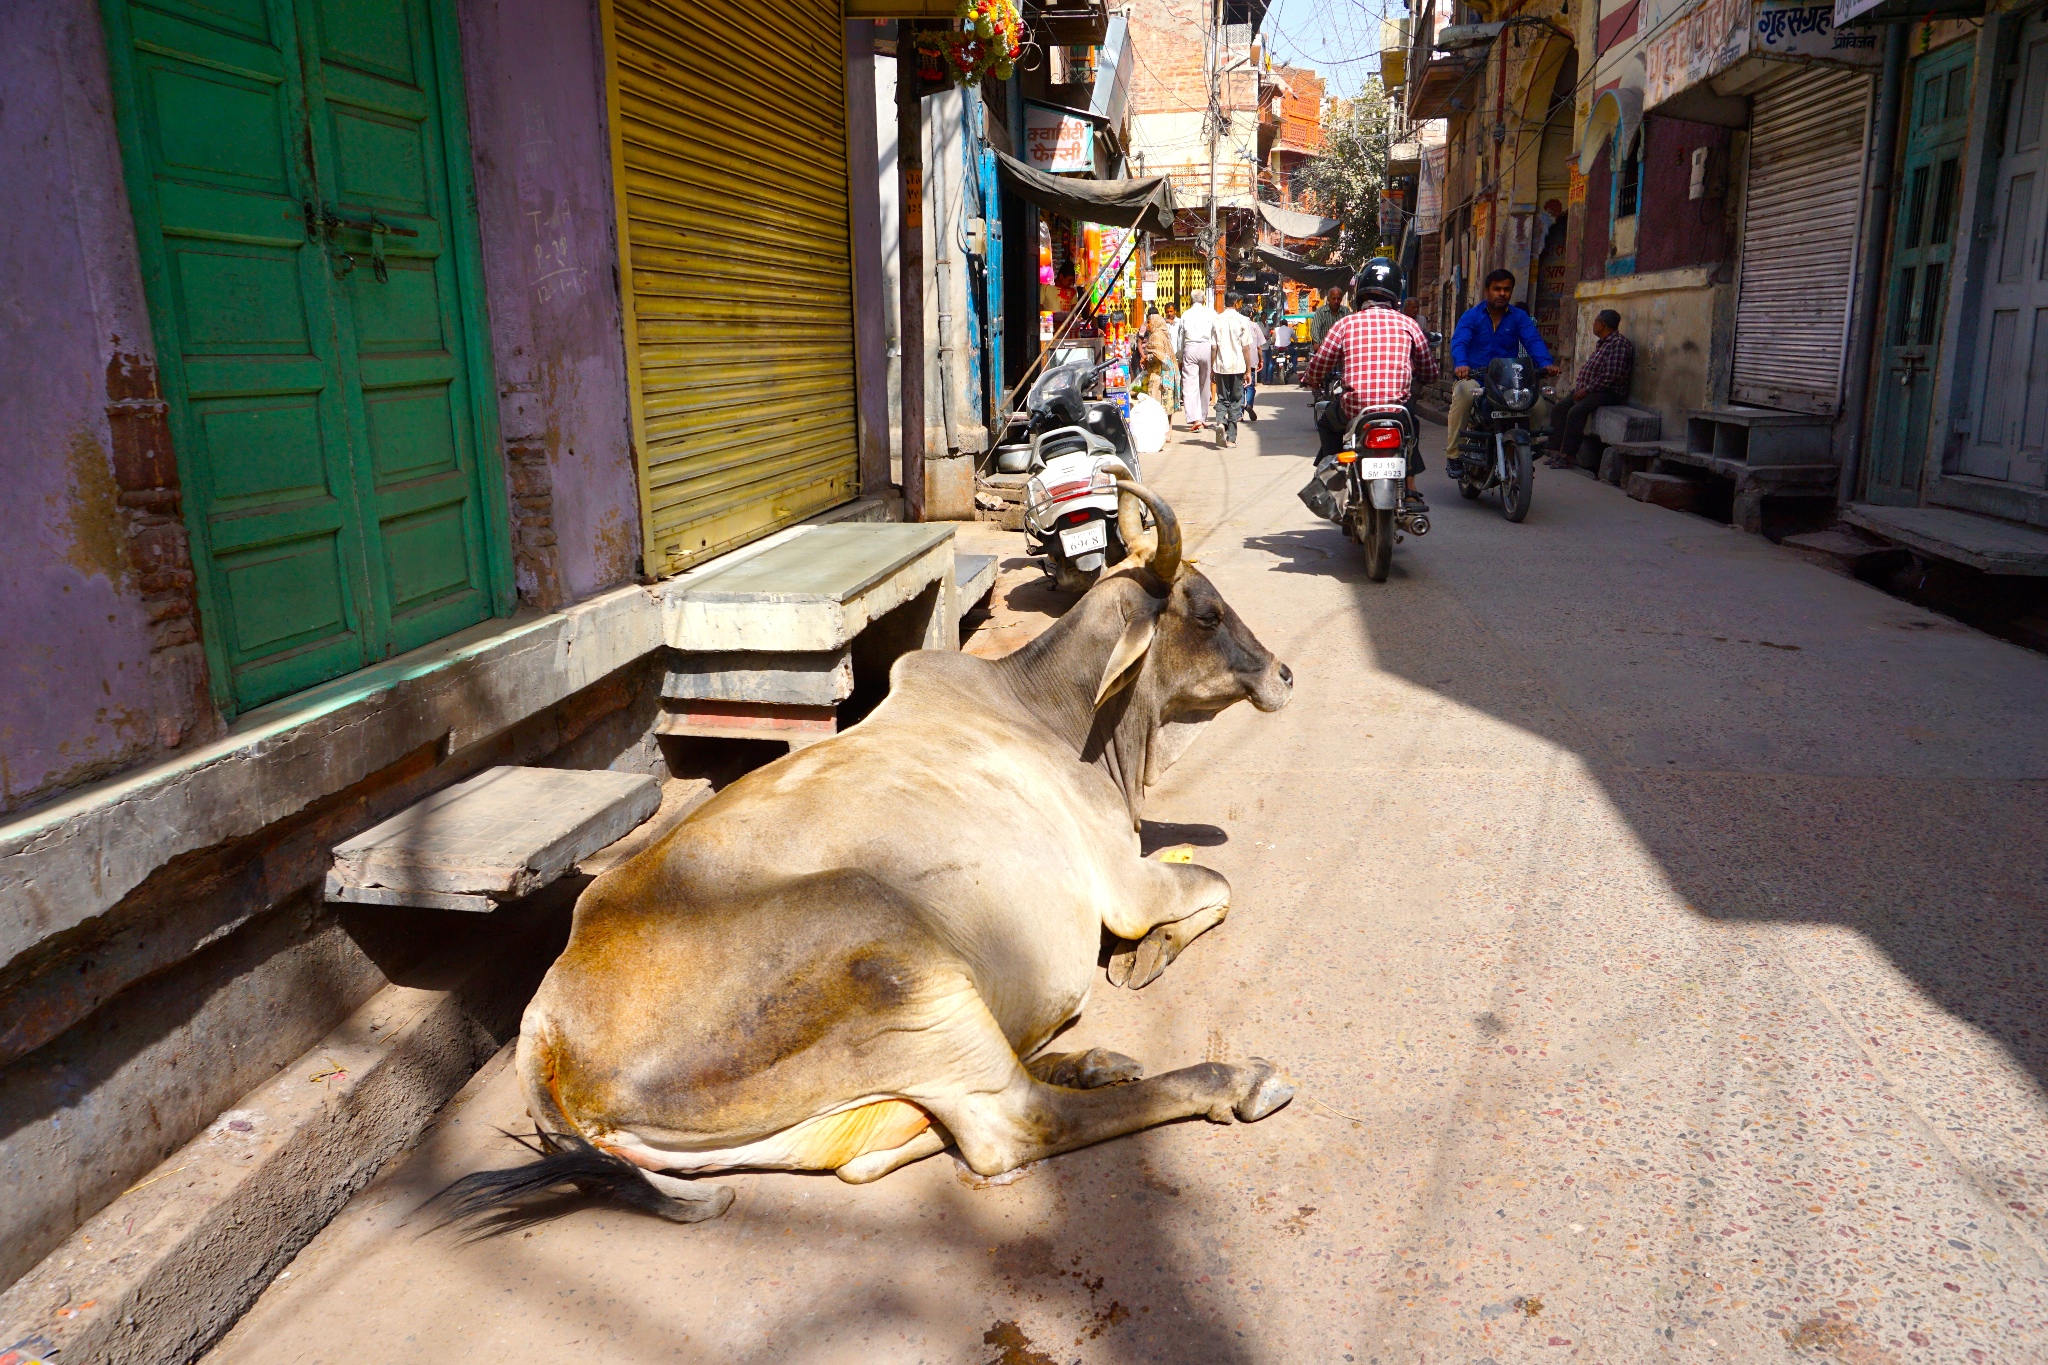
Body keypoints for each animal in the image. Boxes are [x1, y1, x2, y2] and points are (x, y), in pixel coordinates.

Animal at [446, 482, 1294, 1227]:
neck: (1060, 716)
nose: (1285, 671)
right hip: (901, 962)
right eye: (1208, 611)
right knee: (1012, 1128)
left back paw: (1082, 1061)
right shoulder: (1124, 884)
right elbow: (1218, 882)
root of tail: (548, 1025)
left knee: (879, 1149)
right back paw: (1228, 1078)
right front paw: (1147, 955)